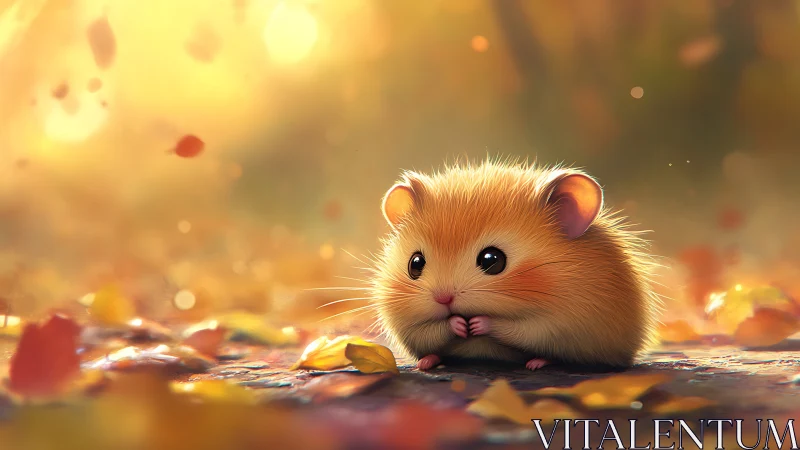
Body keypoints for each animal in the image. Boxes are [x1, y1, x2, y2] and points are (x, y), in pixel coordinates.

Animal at [371, 159, 661, 371]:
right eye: (415, 263)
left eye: (492, 260)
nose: (444, 298)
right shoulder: (404, 324)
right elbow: (429, 330)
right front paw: (458, 325)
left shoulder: (564, 320)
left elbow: (520, 328)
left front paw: (477, 324)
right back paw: (427, 362)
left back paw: (538, 363)